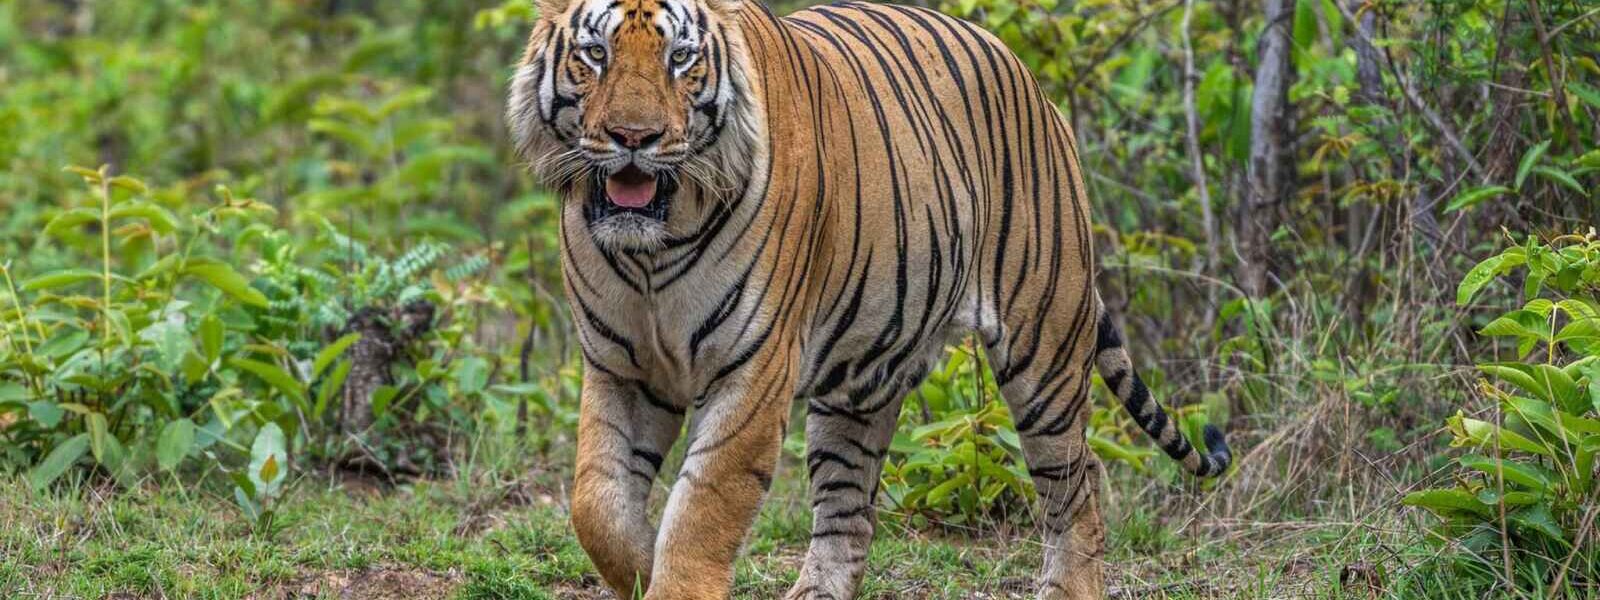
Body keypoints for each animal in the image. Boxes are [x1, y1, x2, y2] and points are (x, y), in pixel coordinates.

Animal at [506, 0, 1233, 598]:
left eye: (679, 58)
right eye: (595, 53)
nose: (635, 137)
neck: (651, 255)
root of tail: (1035, 86)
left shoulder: (752, 374)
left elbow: (699, 517)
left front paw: (670, 573)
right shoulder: (619, 368)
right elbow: (596, 505)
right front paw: (638, 570)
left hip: (1044, 348)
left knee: (1078, 490)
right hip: (860, 383)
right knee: (849, 518)